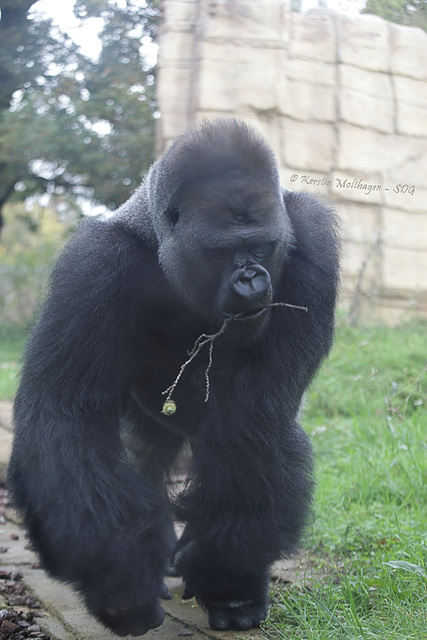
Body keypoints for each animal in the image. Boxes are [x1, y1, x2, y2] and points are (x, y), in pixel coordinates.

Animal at [7, 119, 342, 636]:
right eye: (225, 251)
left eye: (261, 245)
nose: (252, 279)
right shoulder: (94, 264)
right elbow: (67, 414)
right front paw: (122, 579)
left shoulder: (310, 236)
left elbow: (256, 419)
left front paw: (230, 578)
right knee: (141, 453)